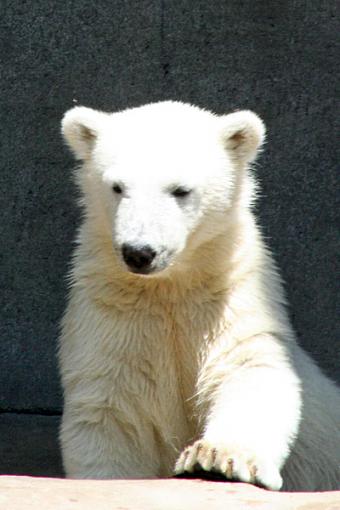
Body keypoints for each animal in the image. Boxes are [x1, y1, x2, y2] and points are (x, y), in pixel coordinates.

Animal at [58, 100, 340, 490]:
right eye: (117, 187)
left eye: (180, 190)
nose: (139, 252)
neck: (169, 286)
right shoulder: (112, 314)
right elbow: (111, 412)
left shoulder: (228, 298)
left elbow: (248, 370)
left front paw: (217, 460)